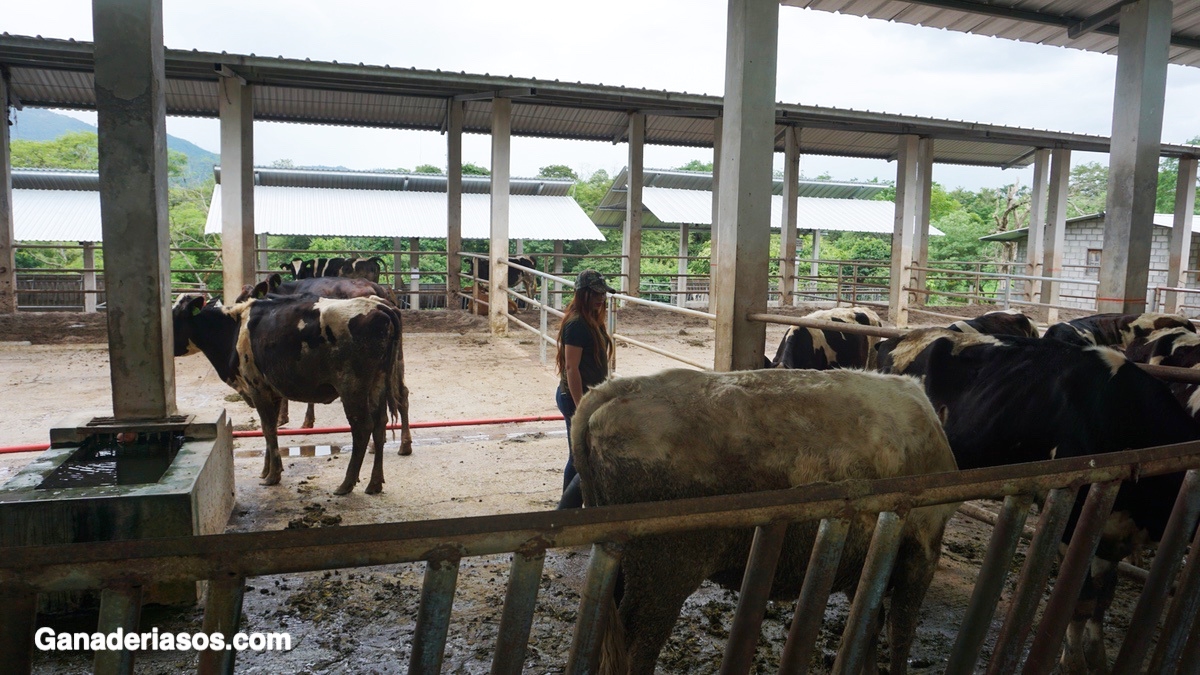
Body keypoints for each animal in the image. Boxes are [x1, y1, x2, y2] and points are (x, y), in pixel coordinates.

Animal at [169, 291, 412, 492]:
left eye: (172, 317)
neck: (234, 328)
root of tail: (378, 306)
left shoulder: (257, 388)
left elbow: (268, 429)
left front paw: (272, 475)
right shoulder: (272, 391)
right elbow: (271, 430)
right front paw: (266, 470)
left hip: (352, 387)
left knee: (362, 428)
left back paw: (347, 484)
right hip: (377, 383)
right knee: (379, 425)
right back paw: (374, 483)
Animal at [568, 367, 955, 672]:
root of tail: (619, 388)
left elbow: (866, 624)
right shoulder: (922, 549)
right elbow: (899, 630)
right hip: (663, 575)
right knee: (639, 644)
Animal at [873, 326, 1200, 667]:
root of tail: (903, 337)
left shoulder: (1114, 533)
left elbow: (1103, 598)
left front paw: (1096, 656)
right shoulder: (1077, 515)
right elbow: (1081, 600)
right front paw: (1073, 662)